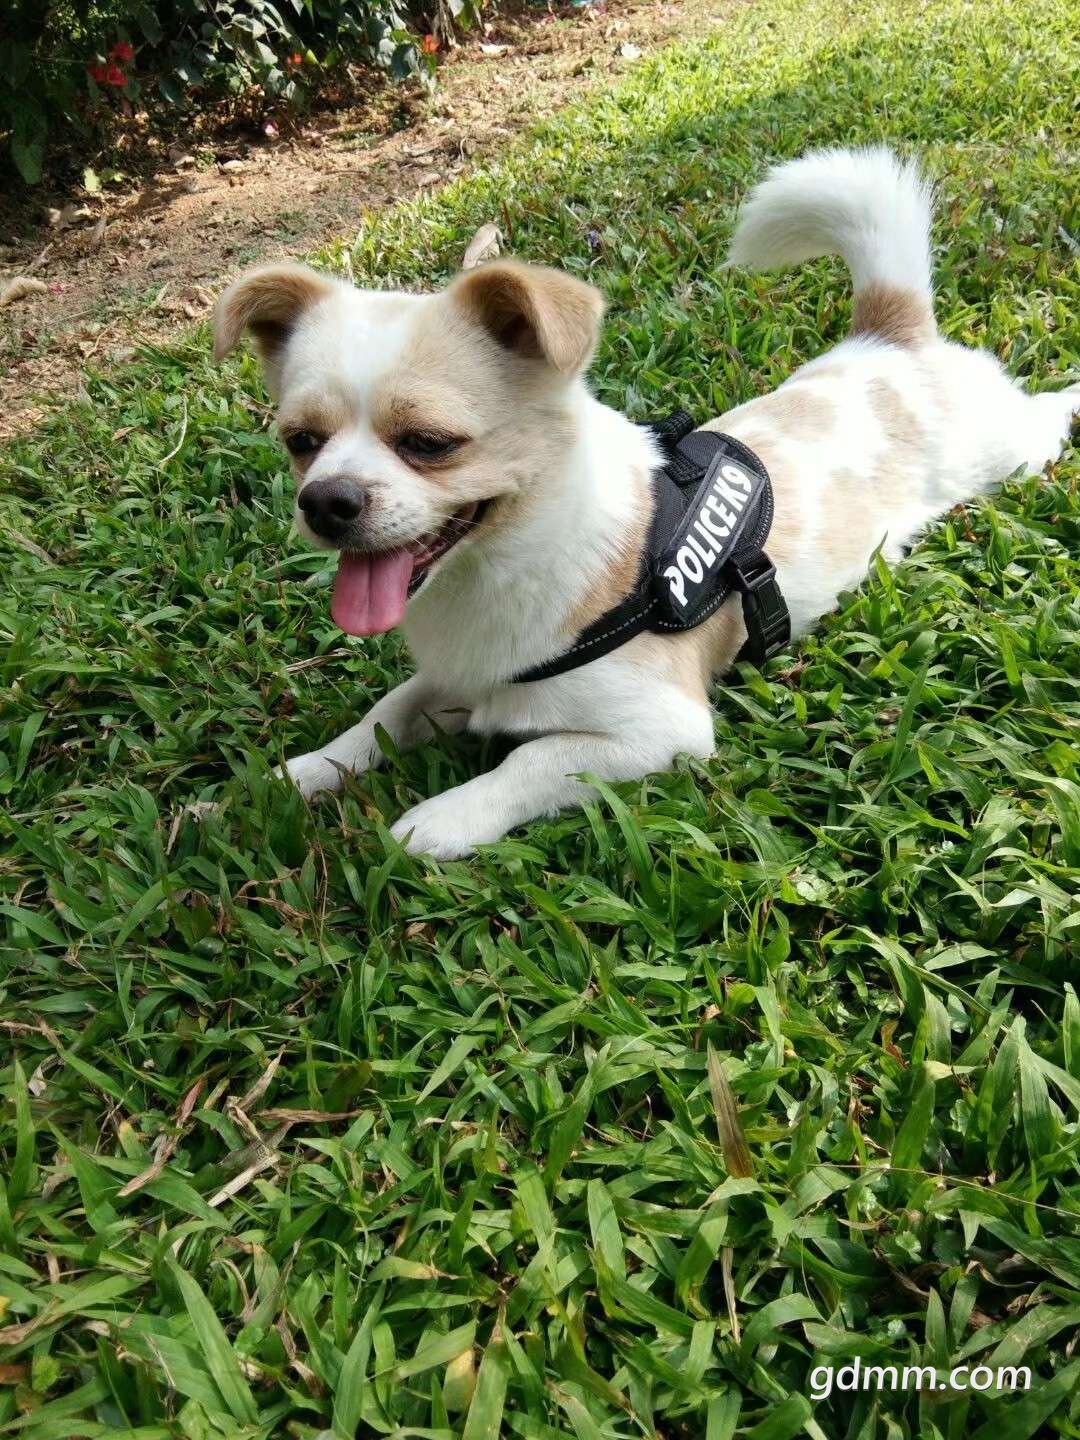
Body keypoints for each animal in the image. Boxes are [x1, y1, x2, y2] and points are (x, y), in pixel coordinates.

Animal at [213, 146, 1079, 858]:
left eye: (428, 443)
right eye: (301, 441)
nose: (326, 501)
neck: (499, 569)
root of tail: (890, 341)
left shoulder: (658, 732)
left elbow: (529, 758)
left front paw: (443, 818)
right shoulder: (457, 679)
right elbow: (382, 717)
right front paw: (301, 773)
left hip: (1005, 448)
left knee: (1045, 415)